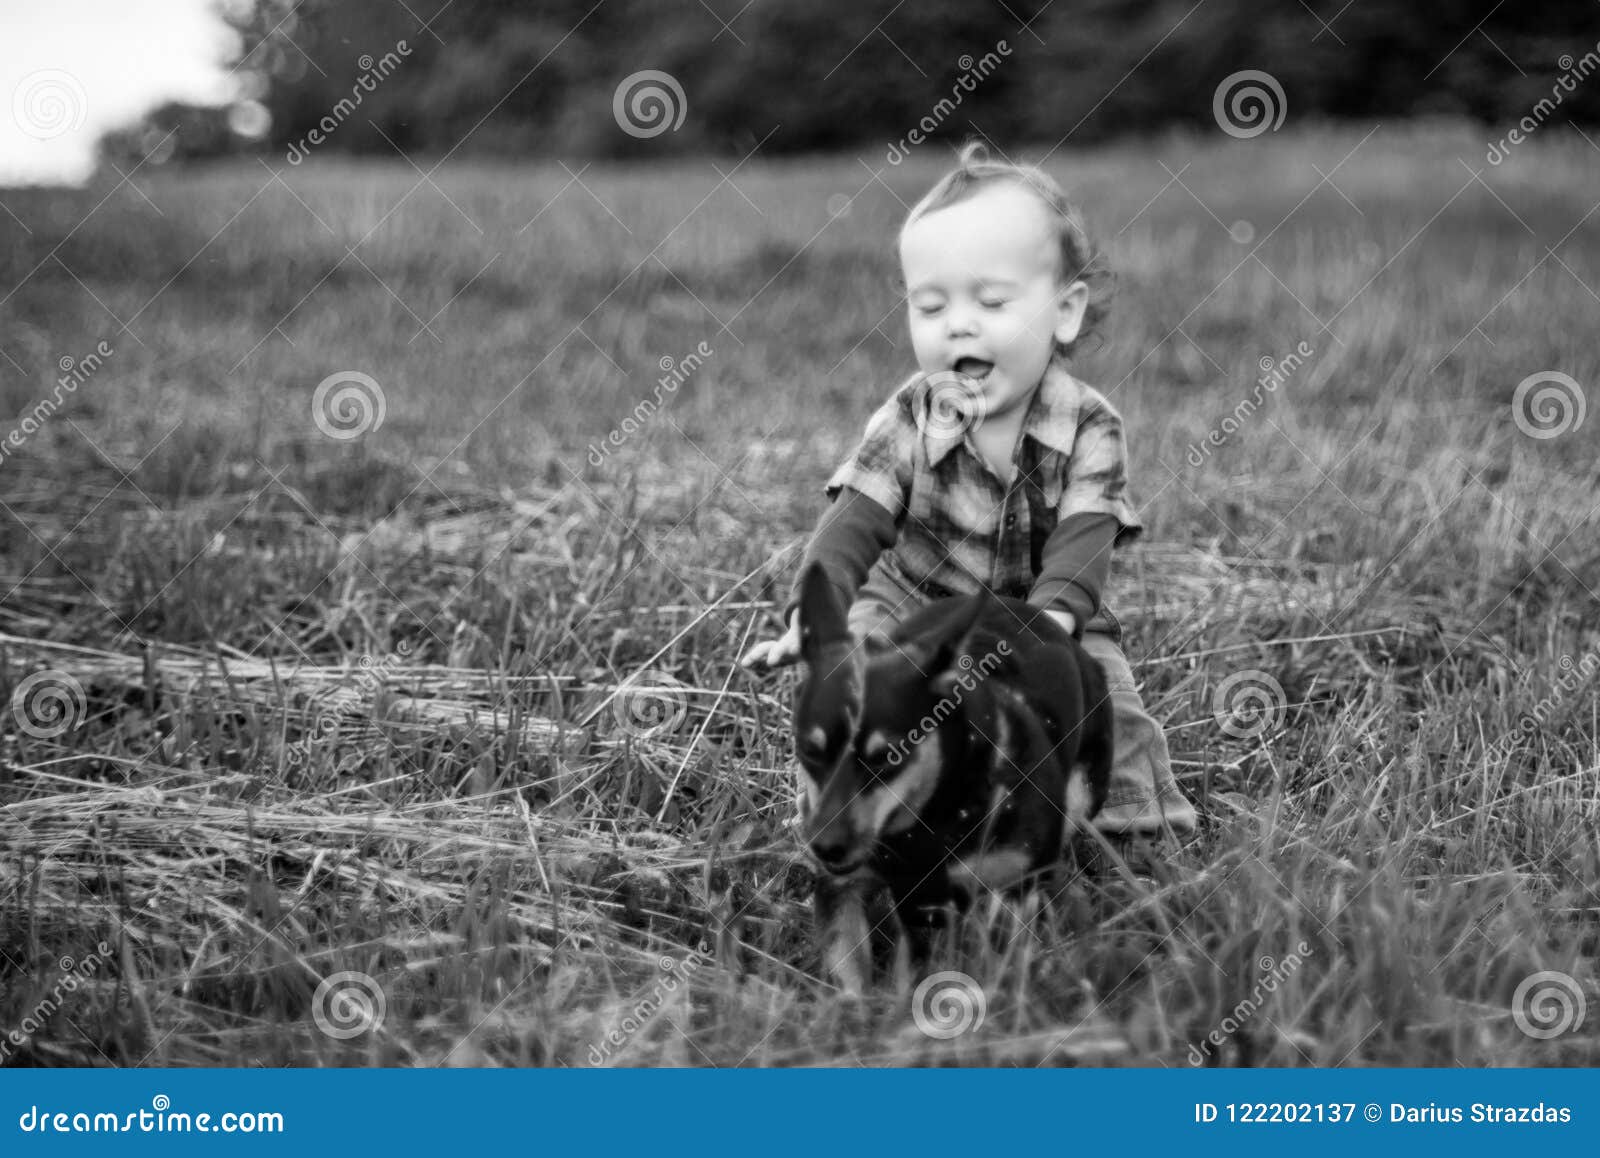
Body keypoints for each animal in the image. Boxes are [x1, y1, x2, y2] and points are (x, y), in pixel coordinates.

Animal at [787, 563, 1113, 998]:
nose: (826, 847)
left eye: (889, 757)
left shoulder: (1011, 887)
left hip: (1082, 793)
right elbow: (852, 973)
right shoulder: (848, 888)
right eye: (810, 751)